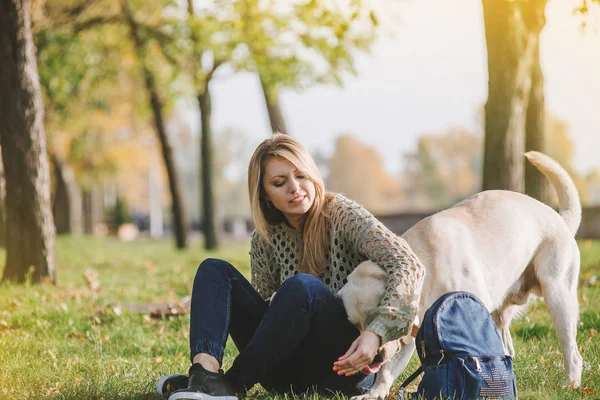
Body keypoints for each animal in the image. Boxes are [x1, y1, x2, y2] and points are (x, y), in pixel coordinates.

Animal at [340, 152, 584, 398]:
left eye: (378, 315)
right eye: (355, 325)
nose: (374, 357)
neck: (428, 267)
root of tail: (560, 218)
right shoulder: (406, 335)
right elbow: (387, 370)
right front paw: (374, 393)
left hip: (558, 297)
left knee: (573, 353)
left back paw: (570, 383)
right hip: (503, 315)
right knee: (507, 350)